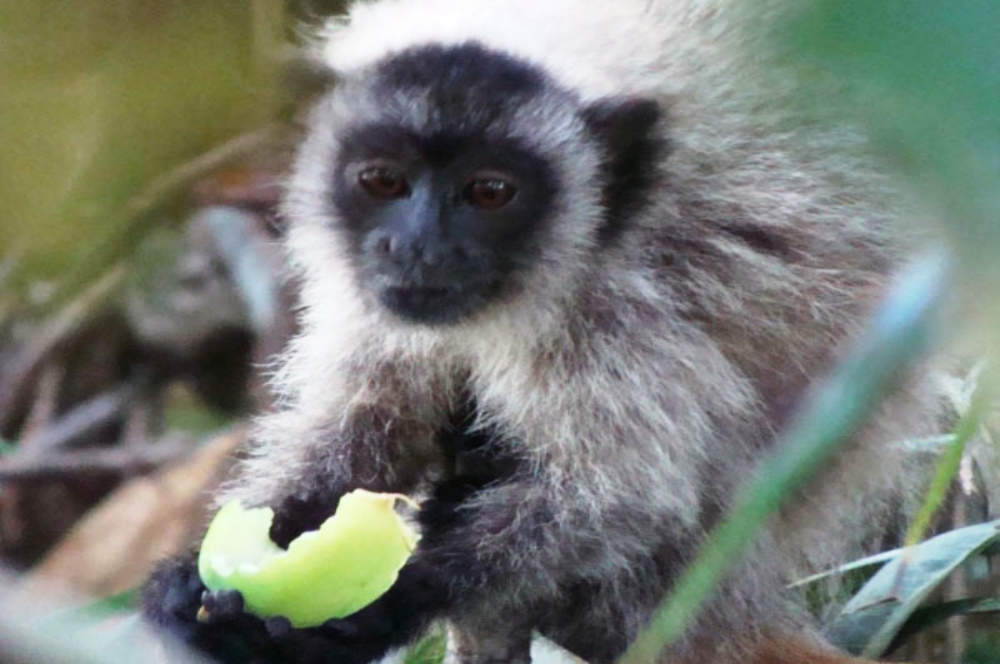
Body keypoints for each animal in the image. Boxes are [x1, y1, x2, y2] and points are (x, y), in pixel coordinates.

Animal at [143, 1, 944, 663]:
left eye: (490, 192)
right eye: (382, 181)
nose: (419, 247)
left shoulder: (616, 306)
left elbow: (623, 498)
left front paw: (394, 602)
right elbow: (366, 430)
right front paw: (194, 584)